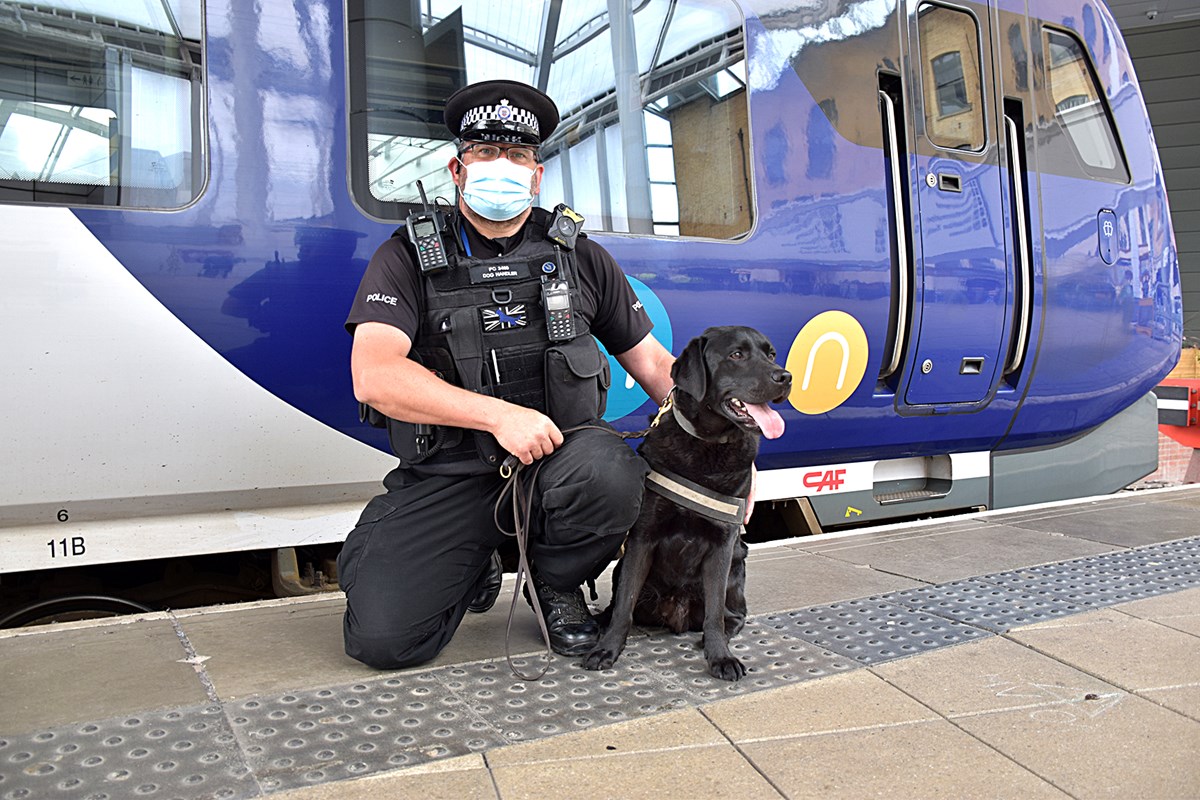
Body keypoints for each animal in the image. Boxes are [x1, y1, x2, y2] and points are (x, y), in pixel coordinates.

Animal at [583, 326, 792, 681]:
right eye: (737, 355)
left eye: (771, 354)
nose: (786, 376)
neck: (706, 445)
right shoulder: (642, 538)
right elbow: (624, 605)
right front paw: (608, 649)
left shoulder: (723, 544)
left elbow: (714, 614)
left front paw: (721, 657)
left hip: (737, 564)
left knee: (732, 615)